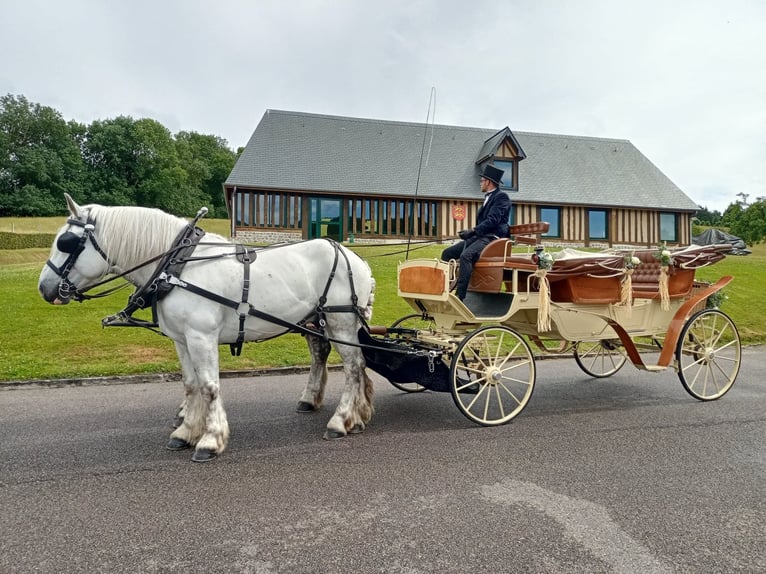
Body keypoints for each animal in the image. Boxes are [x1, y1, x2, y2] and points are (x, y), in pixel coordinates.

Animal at [38, 194, 376, 464]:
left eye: (66, 243)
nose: (44, 288)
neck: (177, 266)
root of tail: (355, 258)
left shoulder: (201, 337)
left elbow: (210, 386)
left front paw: (210, 440)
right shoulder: (181, 339)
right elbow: (191, 385)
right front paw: (186, 430)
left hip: (340, 322)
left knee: (354, 367)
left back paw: (341, 420)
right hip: (317, 320)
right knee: (330, 355)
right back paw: (353, 413)